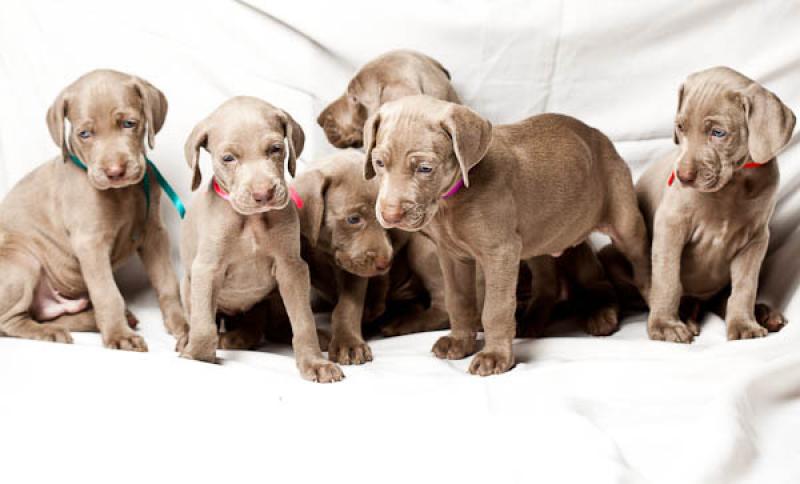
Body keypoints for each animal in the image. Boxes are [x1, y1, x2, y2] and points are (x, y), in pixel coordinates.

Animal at [0, 70, 188, 350]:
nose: (114, 172)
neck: (122, 192)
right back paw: (51, 333)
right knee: (10, 321)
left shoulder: (154, 233)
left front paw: (184, 326)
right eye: (85, 134)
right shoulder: (91, 242)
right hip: (21, 260)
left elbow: (167, 283)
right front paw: (119, 336)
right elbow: (107, 293)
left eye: (129, 124)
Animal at [180, 94, 342, 382]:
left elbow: (303, 321)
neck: (252, 221)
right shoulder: (206, 269)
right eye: (228, 158)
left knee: (273, 327)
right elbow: (203, 325)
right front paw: (197, 357)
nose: (263, 194)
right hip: (186, 286)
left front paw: (314, 362)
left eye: (275, 149)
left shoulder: (291, 268)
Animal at [362, 94, 648, 374]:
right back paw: (533, 321)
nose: (389, 215)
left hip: (624, 221)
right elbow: (459, 300)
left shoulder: (500, 253)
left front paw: (495, 355)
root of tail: (598, 134)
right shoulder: (453, 256)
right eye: (379, 163)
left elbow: (496, 308)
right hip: (541, 237)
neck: (453, 199)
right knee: (549, 282)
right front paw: (460, 342)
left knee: (627, 269)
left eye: (424, 168)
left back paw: (616, 313)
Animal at [608, 66, 792, 342]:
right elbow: (667, 279)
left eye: (718, 133)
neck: (732, 185)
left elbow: (745, 287)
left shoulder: (756, 239)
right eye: (680, 127)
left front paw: (744, 324)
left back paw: (763, 314)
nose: (682, 176)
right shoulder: (671, 225)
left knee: (723, 298)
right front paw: (665, 325)